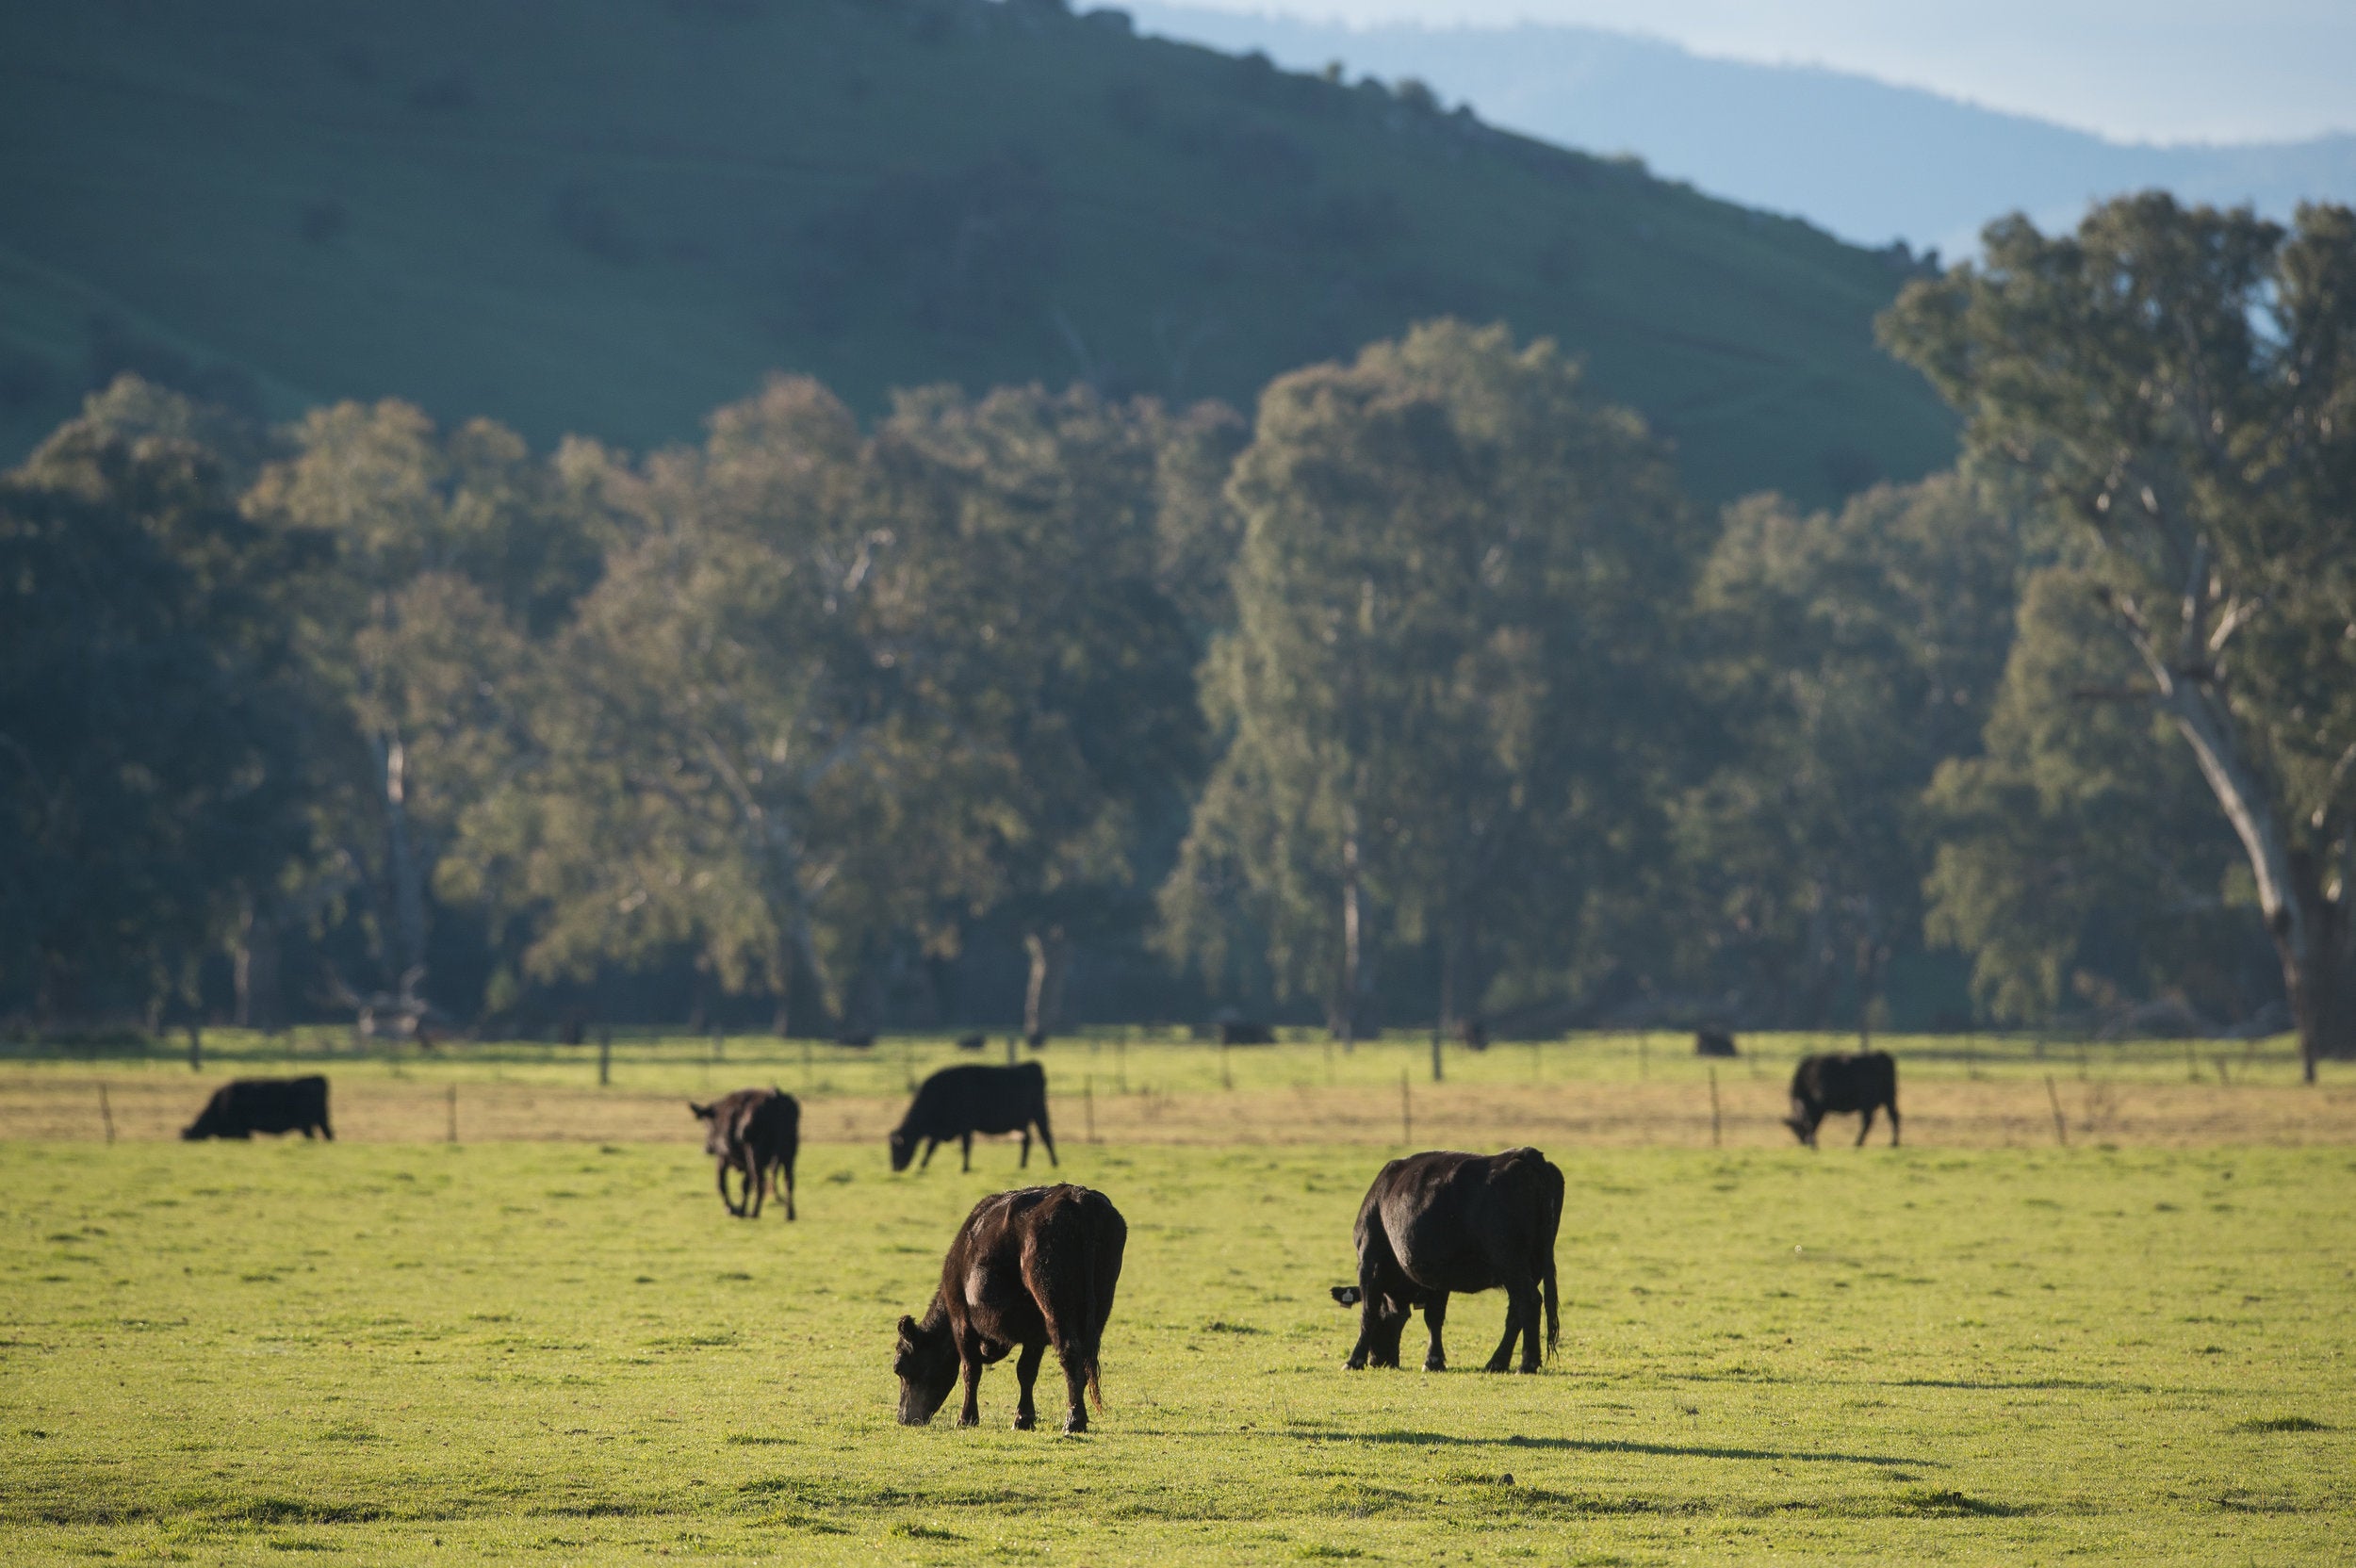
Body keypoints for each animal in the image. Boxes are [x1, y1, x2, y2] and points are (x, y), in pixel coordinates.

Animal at [688, 1083, 801, 1215]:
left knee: (760, 1181)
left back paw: (755, 1213)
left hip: (755, 1153)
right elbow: (745, 1185)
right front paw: (740, 1209)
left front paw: (731, 1208)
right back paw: (790, 1214)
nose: (708, 1148)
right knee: (788, 1181)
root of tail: (774, 1096)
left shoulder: (724, 1157)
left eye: (707, 1124)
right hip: (789, 1152)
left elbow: (722, 1184)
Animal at [891, 1054, 1060, 1168]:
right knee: (1027, 1140)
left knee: (1046, 1136)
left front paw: (965, 1168)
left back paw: (1054, 1163)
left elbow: (966, 1147)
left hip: (1039, 1114)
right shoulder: (941, 1130)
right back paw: (1022, 1165)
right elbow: (931, 1148)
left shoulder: (965, 1125)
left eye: (898, 1148)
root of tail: (1032, 1065)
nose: (895, 1168)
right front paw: (922, 1167)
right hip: (1022, 1122)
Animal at [891, 1186, 1131, 1431]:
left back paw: (1073, 1421)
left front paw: (967, 1418)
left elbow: (970, 1369)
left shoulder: (961, 1319)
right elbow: (1026, 1371)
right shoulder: (1034, 1332)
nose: (904, 1418)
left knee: (1070, 1352)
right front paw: (1023, 1418)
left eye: (899, 1367)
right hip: (1101, 1301)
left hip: (1054, 1302)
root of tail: (1076, 1197)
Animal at [1329, 1149, 1564, 1365]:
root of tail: (1524, 1153)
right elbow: (1434, 1317)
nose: (1380, 1360)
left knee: (1529, 1301)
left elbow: (1368, 1312)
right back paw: (1497, 1362)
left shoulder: (1370, 1261)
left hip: (1509, 1261)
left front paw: (1354, 1360)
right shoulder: (1436, 1273)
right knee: (1516, 1311)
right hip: (1532, 1264)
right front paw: (1434, 1360)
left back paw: (1527, 1363)